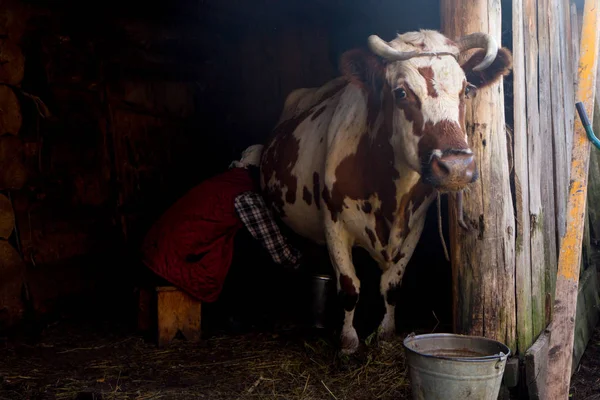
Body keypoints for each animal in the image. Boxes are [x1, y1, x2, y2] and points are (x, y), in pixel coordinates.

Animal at [260, 28, 512, 354]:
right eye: (401, 93)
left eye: (467, 89)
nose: (456, 166)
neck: (390, 195)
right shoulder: (333, 223)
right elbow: (349, 286)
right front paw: (348, 341)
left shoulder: (414, 225)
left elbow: (392, 285)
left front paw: (386, 331)